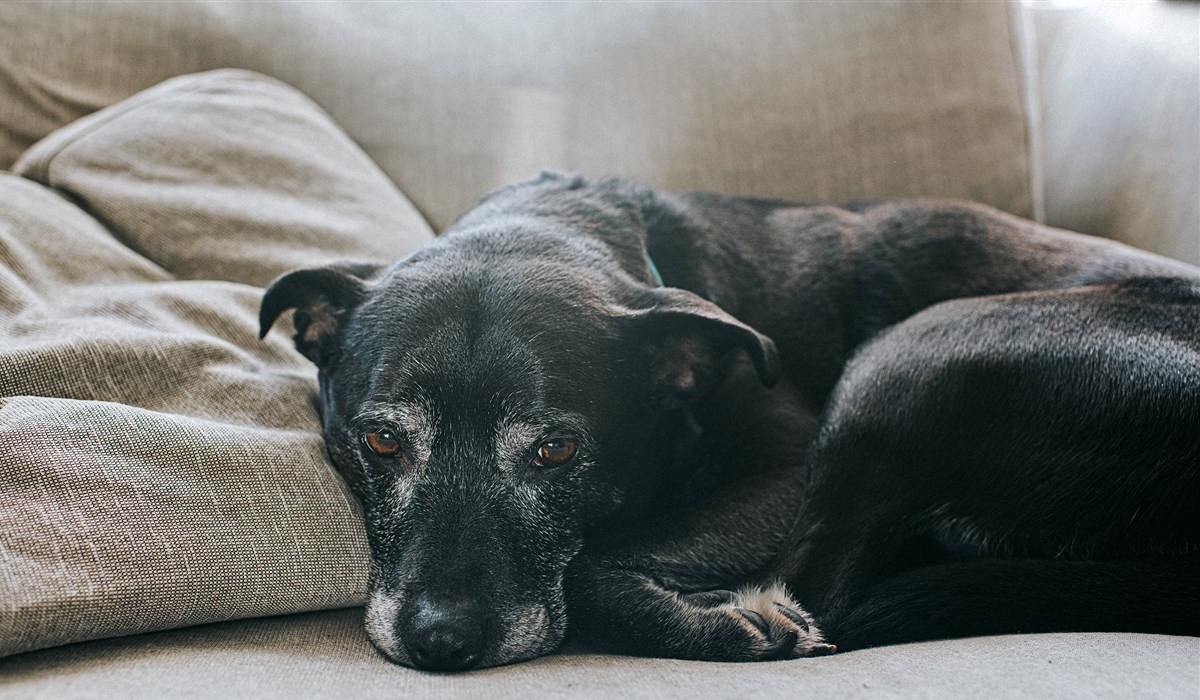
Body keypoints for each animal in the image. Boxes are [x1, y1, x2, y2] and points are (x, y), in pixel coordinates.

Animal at [258, 172, 1195, 672]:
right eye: (382, 439)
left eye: (556, 451)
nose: (441, 641)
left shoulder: (784, 474)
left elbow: (591, 562)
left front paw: (714, 621)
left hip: (915, 354)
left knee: (823, 594)